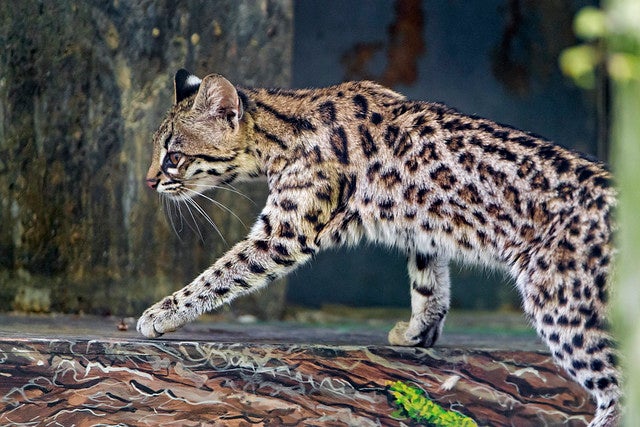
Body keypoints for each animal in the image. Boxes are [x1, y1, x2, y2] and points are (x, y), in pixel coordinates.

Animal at [138, 69, 621, 426]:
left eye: (173, 157)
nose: (149, 182)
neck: (282, 129)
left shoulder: (285, 233)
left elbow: (222, 273)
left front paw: (161, 313)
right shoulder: (423, 228)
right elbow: (429, 283)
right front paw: (417, 333)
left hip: (563, 304)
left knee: (618, 385)